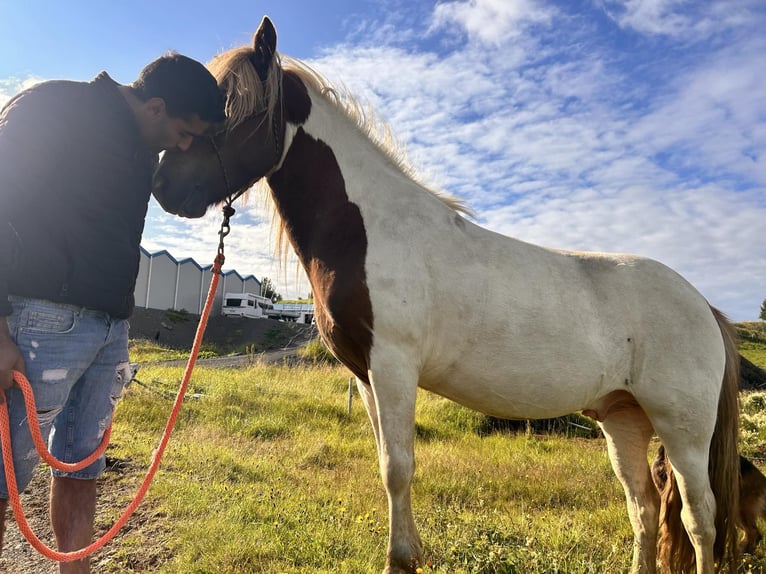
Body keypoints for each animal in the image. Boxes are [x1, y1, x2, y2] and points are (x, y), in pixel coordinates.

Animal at [152, 15, 744, 572]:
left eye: (231, 108)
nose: (165, 189)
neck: (368, 227)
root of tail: (704, 306)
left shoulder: (394, 366)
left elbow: (398, 468)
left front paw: (400, 559)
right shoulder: (366, 375)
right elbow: (386, 462)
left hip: (684, 431)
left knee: (699, 517)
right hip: (624, 419)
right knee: (643, 506)